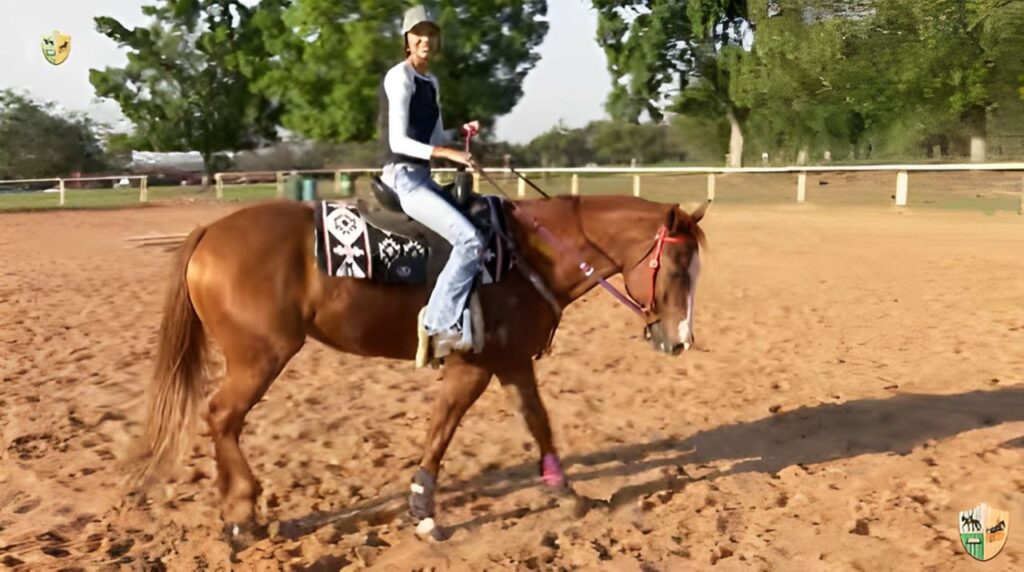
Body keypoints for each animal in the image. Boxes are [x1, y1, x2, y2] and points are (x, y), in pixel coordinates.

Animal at [140, 192, 707, 542]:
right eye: (678, 267)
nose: (680, 341)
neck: (523, 256)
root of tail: (210, 232)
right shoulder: (473, 365)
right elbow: (442, 428)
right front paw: (424, 514)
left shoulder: (511, 360)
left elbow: (538, 421)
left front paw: (566, 493)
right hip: (261, 358)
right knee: (222, 417)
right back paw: (242, 512)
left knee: (223, 421)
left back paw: (238, 514)